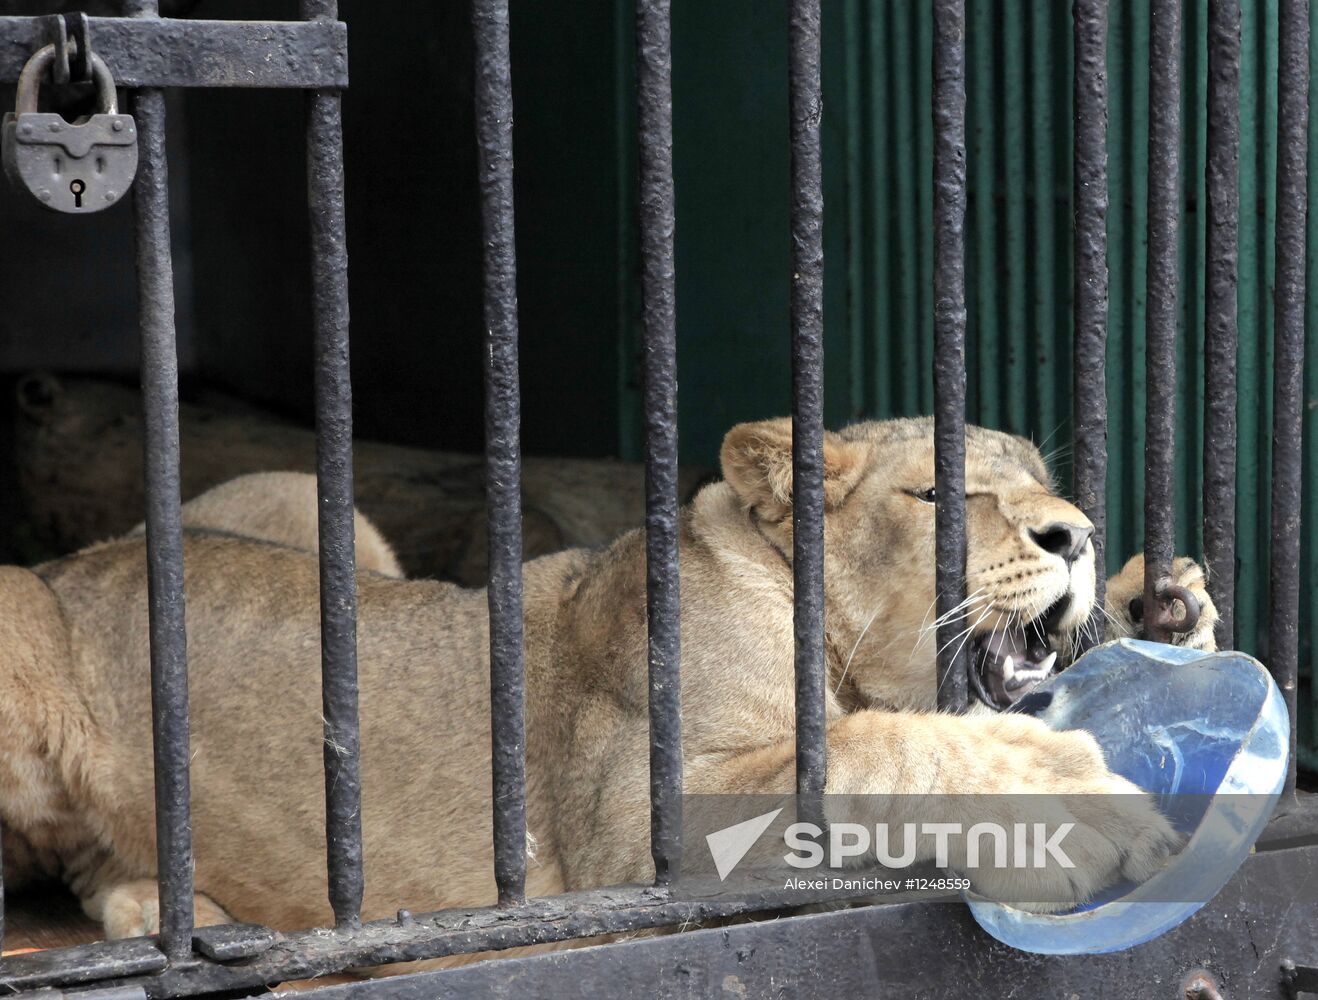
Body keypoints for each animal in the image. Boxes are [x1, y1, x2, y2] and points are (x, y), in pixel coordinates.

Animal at [0, 418, 1212, 959]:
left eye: (1045, 482)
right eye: (937, 492)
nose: (1075, 533)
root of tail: (83, 557)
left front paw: (1166, 604)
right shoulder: (643, 838)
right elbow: (887, 744)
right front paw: (1073, 801)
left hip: (305, 498)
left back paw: (168, 903)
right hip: (18, 616)